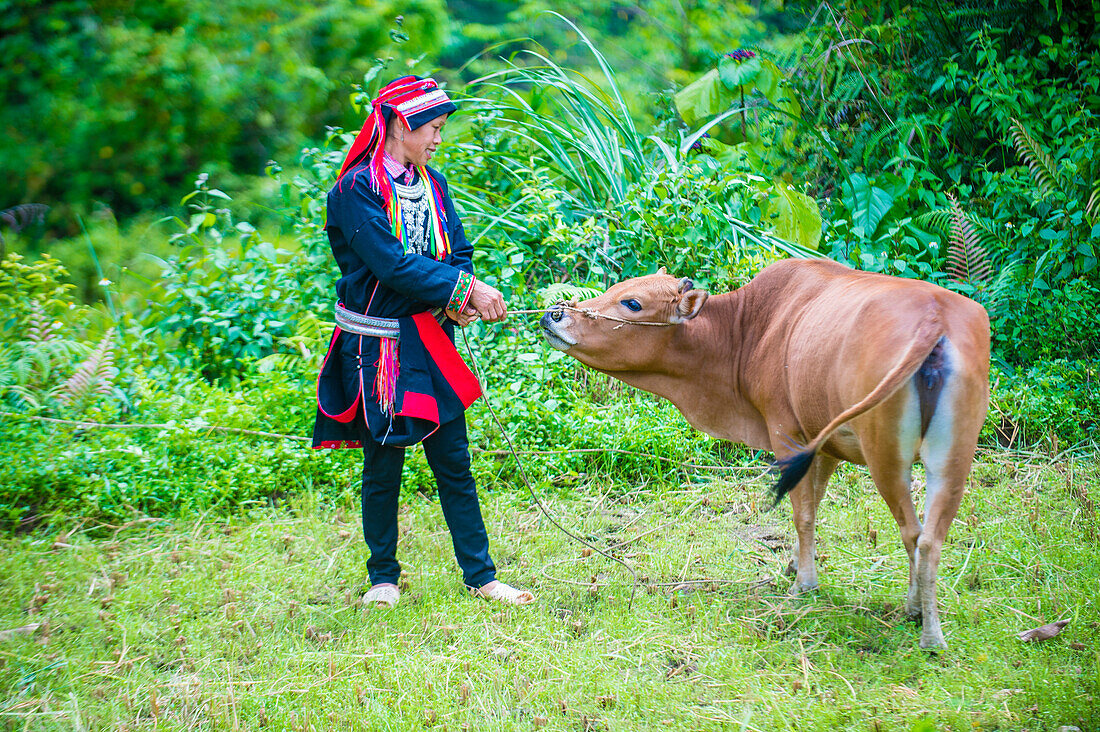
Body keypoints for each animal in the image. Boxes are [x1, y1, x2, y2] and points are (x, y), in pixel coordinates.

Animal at [539, 256, 990, 647]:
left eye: (631, 303)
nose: (554, 315)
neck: (748, 330)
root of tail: (934, 316)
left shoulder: (786, 433)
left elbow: (803, 513)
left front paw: (804, 582)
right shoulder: (822, 443)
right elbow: (814, 503)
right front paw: (795, 563)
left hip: (886, 455)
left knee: (915, 534)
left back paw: (922, 624)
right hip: (953, 458)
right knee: (932, 537)